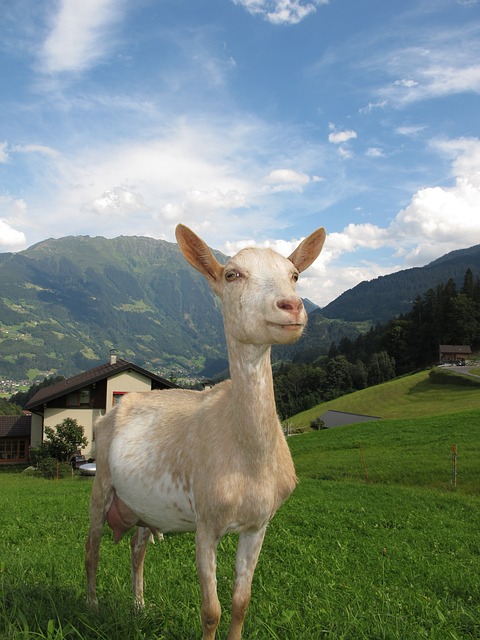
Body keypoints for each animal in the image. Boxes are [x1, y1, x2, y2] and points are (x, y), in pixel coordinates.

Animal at [85, 222, 326, 636]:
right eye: (232, 274)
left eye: (294, 274)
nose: (292, 306)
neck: (246, 457)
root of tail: (110, 411)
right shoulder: (206, 523)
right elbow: (210, 609)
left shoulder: (258, 524)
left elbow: (241, 602)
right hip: (101, 480)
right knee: (92, 546)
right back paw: (92, 605)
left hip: (143, 506)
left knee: (136, 549)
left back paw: (138, 606)